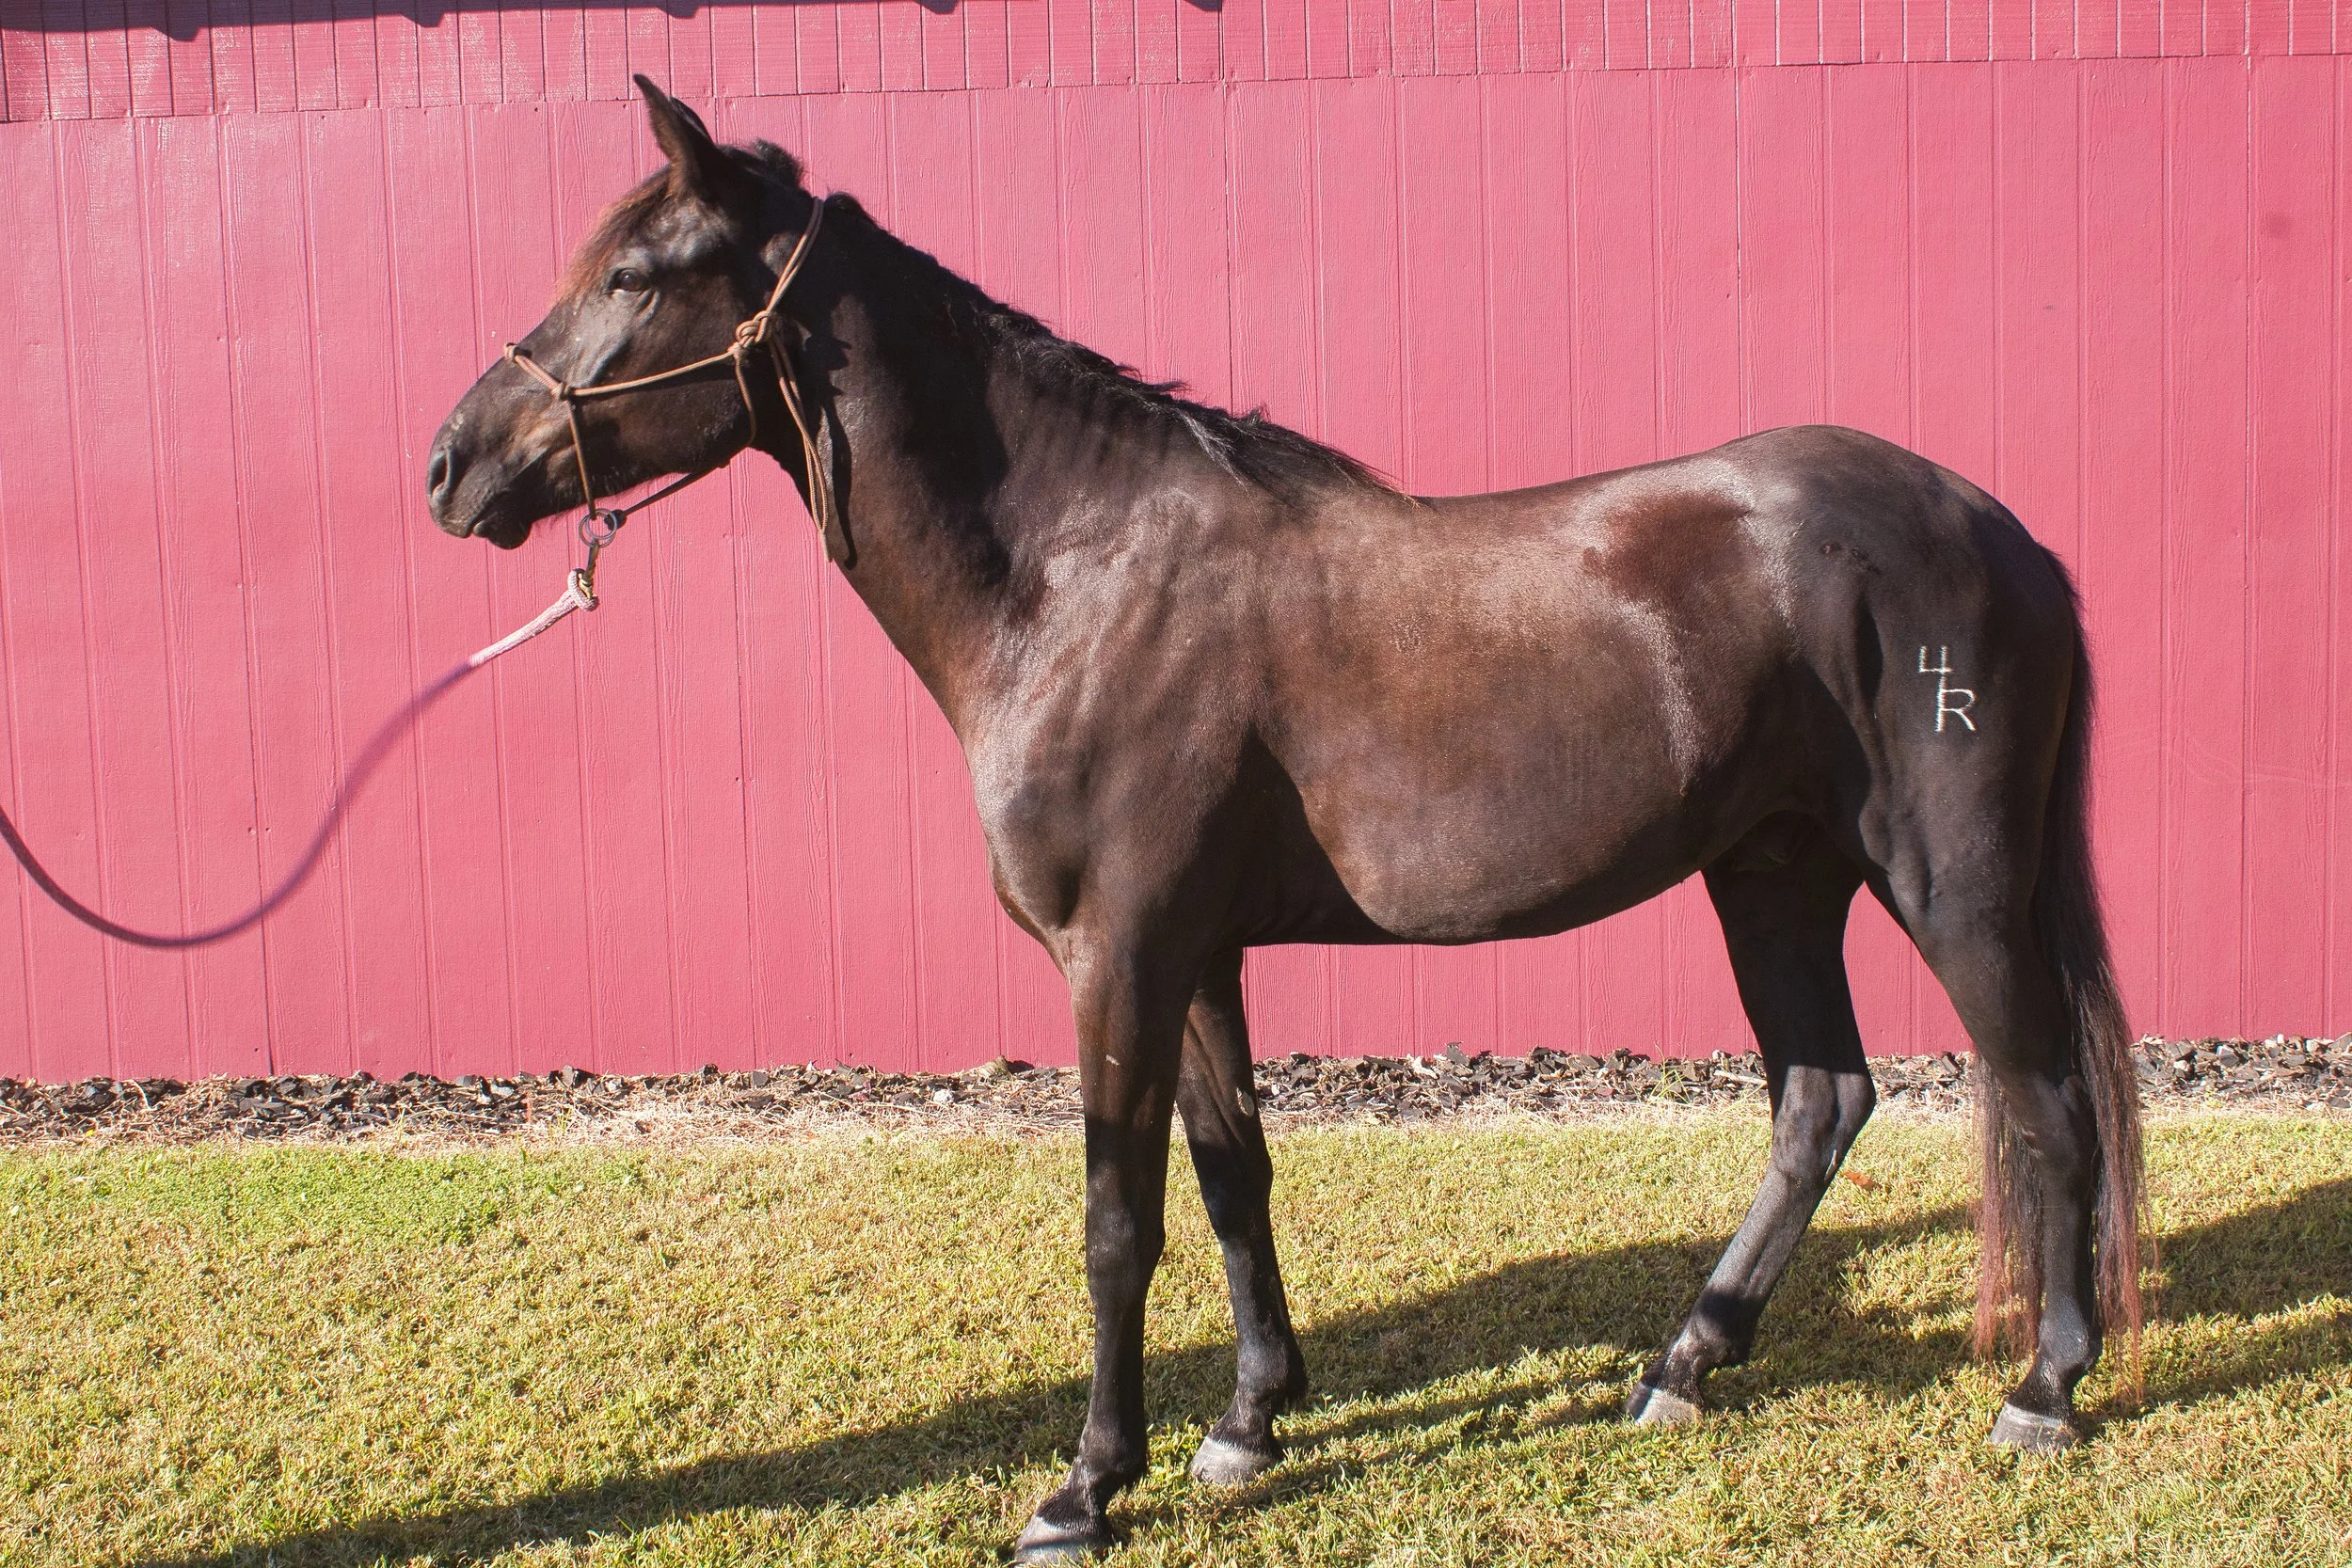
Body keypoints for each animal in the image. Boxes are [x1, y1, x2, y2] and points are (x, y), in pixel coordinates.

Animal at [427, 78, 2144, 1561]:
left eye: (637, 271)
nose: (453, 464)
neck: (1078, 574)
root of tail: (1998, 530)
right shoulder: (1199, 954)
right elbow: (1233, 1172)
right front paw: (1250, 1422)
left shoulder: (1119, 954)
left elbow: (1119, 1216)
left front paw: (1084, 1486)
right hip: (1771, 874)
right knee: (1819, 1100)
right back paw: (1683, 1363)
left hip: (1952, 881)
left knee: (2044, 1098)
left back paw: (2044, 1387)